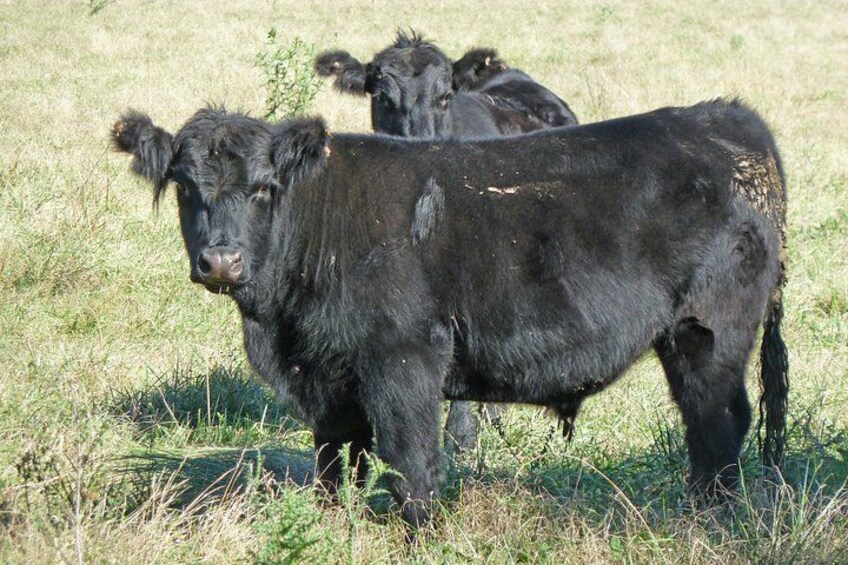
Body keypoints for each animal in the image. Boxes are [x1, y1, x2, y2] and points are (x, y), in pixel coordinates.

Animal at [111, 98, 788, 535]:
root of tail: (726, 117)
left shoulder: (404, 358)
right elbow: (337, 463)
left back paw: (706, 523)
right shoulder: (329, 381)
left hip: (707, 334)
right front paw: (331, 524)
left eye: (263, 188)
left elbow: (412, 461)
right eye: (185, 186)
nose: (221, 260)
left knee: (718, 423)